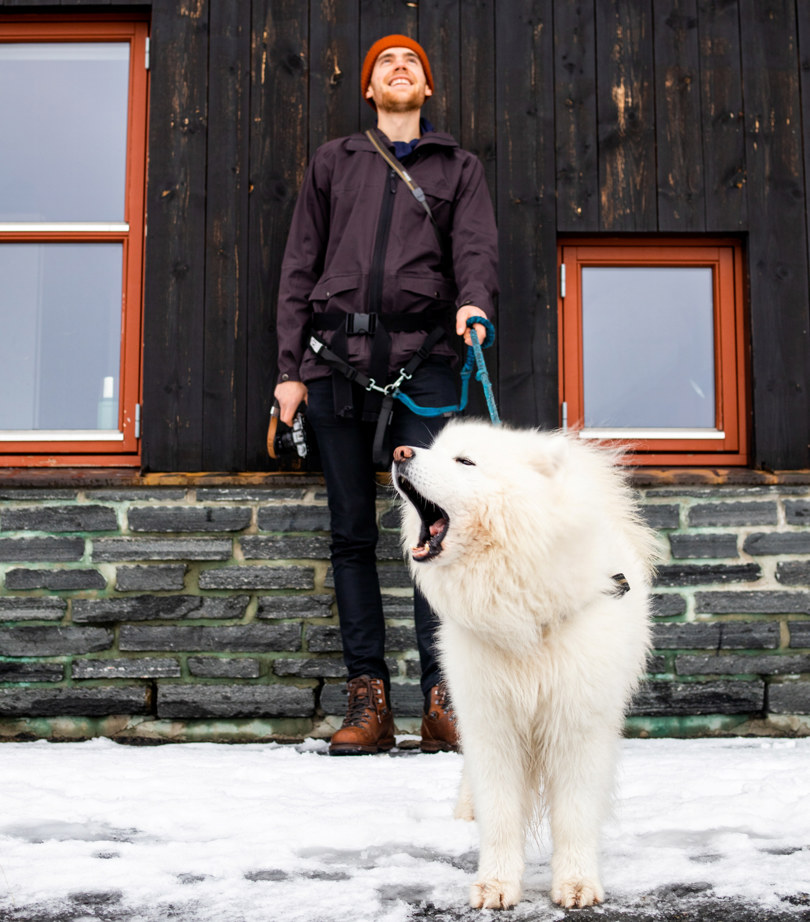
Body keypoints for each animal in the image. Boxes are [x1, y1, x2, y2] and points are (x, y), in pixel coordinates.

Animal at [392, 420, 656, 908]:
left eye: (465, 461)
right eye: (434, 449)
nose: (399, 451)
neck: (523, 620)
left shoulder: (577, 722)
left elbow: (574, 814)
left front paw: (576, 883)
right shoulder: (490, 719)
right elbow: (499, 814)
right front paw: (496, 885)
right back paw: (465, 810)